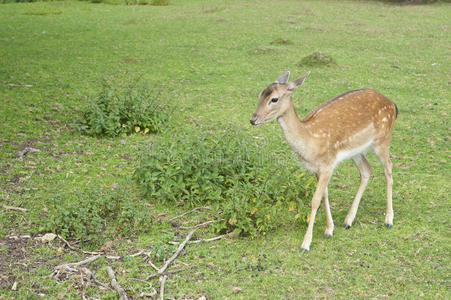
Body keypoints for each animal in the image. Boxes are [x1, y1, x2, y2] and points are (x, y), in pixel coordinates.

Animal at [251, 71, 400, 252]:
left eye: (274, 99)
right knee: (367, 170)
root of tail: (393, 105)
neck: (310, 142)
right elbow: (324, 195)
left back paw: (388, 220)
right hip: (356, 151)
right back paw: (348, 220)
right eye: (260, 95)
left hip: (383, 139)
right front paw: (329, 230)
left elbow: (315, 200)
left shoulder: (328, 164)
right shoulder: (317, 168)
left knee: (388, 169)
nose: (253, 119)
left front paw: (305, 244)